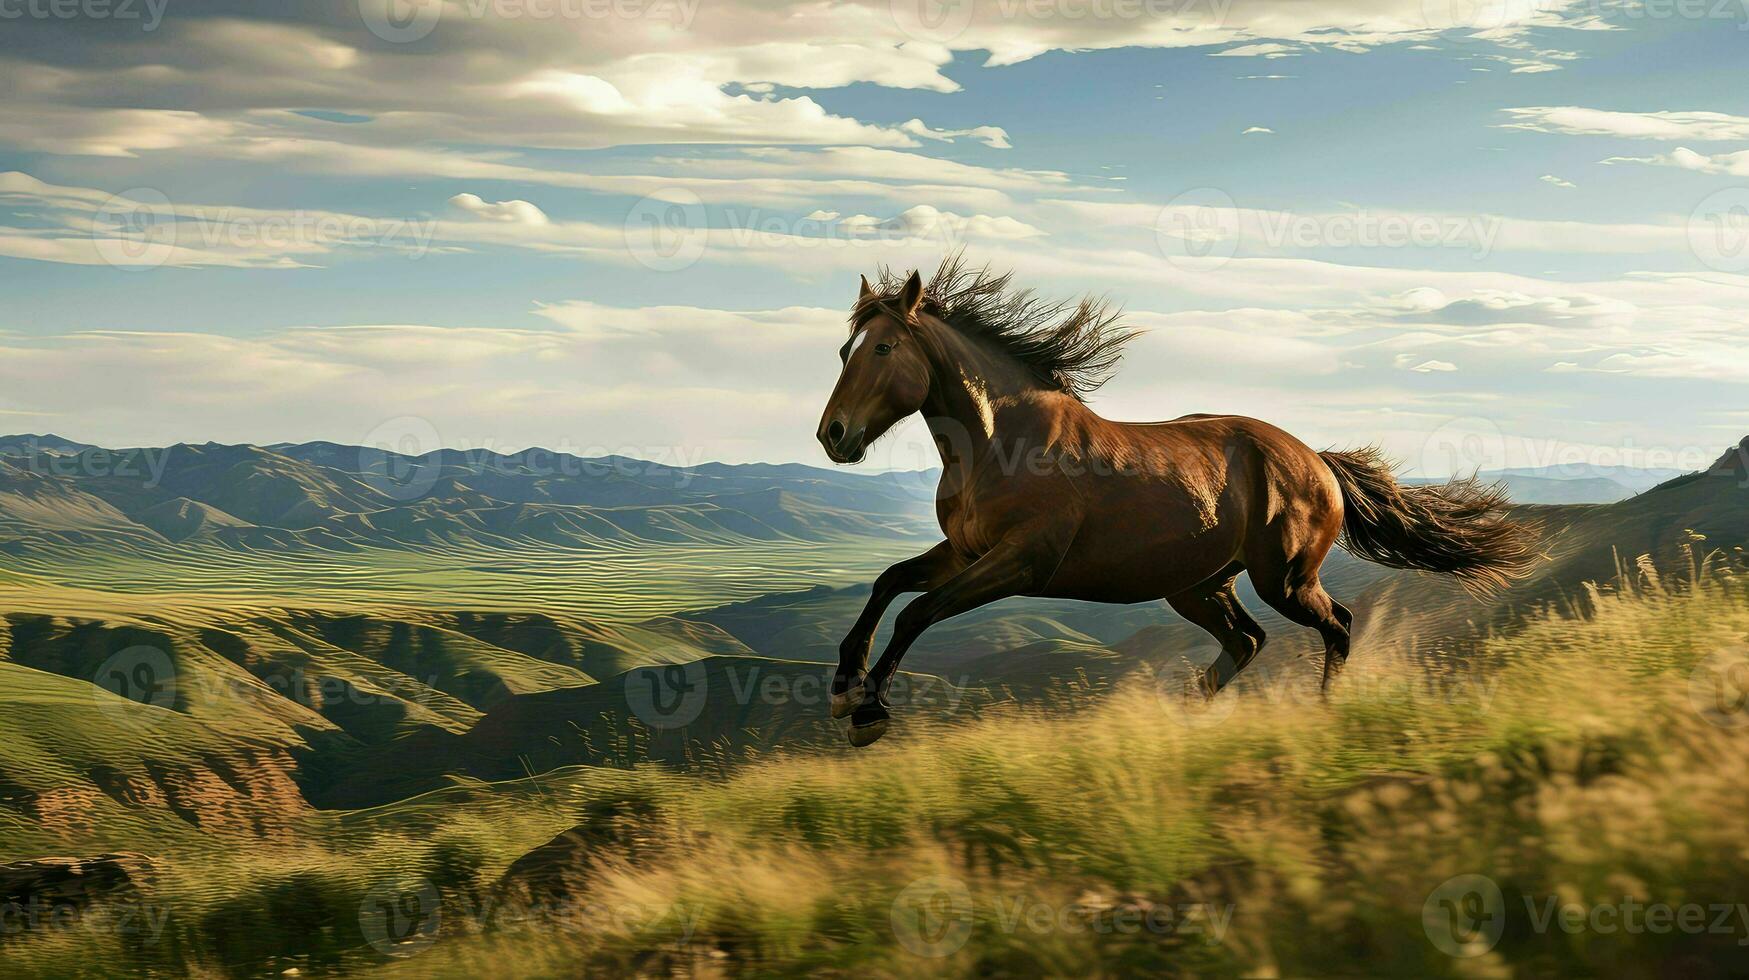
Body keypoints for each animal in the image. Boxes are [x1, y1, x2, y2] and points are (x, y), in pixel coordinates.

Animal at [811, 257, 1539, 745]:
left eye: (883, 347)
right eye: (845, 348)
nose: (832, 434)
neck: (1000, 441)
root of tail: (1317, 461)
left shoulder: (1021, 561)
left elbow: (918, 610)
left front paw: (868, 713)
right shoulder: (966, 550)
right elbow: (888, 582)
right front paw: (843, 687)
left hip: (1282, 578)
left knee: (1336, 624)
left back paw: (1320, 717)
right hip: (1197, 585)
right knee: (1246, 640)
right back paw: (1186, 717)